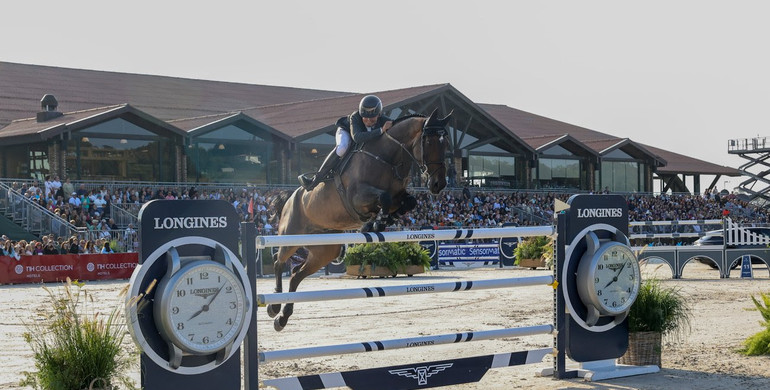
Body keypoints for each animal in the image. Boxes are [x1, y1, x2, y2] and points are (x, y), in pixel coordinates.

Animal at [268, 108, 452, 330]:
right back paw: (274, 305)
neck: (387, 159)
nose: (438, 184)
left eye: (446, 144)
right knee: (279, 262)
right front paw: (374, 222)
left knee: (296, 274)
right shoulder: (357, 197)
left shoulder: (398, 196)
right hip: (291, 236)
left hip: (325, 250)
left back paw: (283, 317)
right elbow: (384, 197)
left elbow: (408, 202)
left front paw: (379, 222)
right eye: (430, 142)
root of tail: (289, 198)